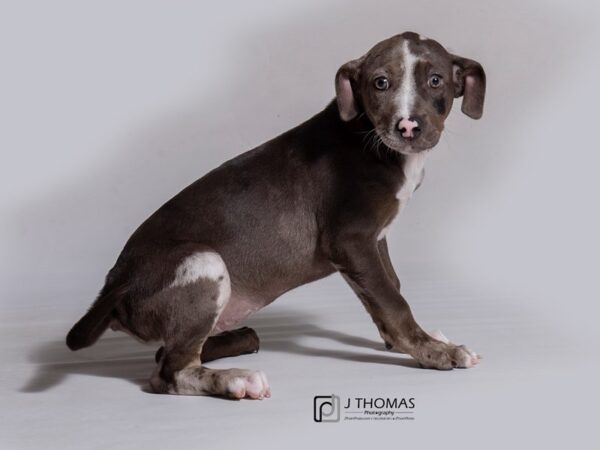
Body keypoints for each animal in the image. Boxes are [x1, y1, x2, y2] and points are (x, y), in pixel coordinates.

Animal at [67, 31, 488, 398]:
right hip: (203, 261)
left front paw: (416, 341)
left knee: (166, 355)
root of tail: (116, 282)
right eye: (380, 83)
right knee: (169, 373)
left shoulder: (376, 238)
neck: (372, 140)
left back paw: (238, 340)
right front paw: (433, 351)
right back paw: (236, 380)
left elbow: (391, 287)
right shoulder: (350, 240)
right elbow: (392, 301)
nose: (408, 126)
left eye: (436, 80)